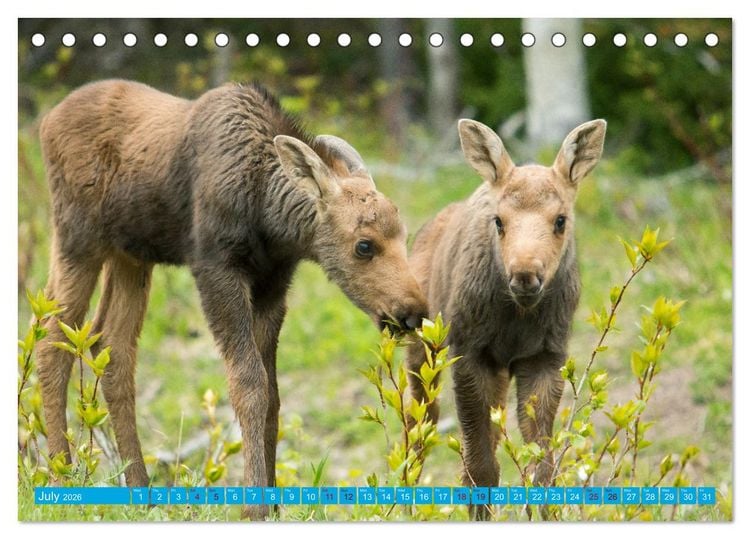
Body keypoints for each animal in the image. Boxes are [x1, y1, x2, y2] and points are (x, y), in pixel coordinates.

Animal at [35, 79, 428, 519]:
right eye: (364, 245)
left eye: (403, 235)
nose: (412, 312)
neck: (269, 216)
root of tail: (47, 122)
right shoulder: (215, 268)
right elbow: (249, 386)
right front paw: (253, 506)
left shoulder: (273, 283)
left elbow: (273, 395)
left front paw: (273, 504)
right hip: (77, 238)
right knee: (51, 339)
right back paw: (60, 475)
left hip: (130, 255)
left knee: (111, 346)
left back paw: (140, 490)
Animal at [406, 118, 606, 519]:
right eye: (499, 221)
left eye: (560, 220)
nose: (525, 274)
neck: (517, 318)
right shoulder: (469, 352)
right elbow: (480, 467)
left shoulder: (545, 357)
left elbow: (542, 468)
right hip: (422, 352)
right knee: (417, 426)